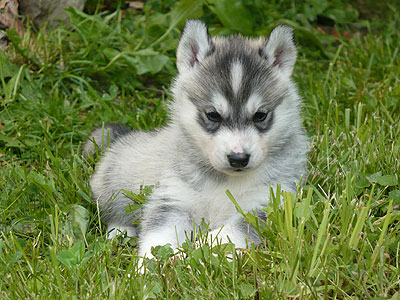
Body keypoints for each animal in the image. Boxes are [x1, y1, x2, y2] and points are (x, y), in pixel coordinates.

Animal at [84, 19, 310, 258]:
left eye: (260, 115)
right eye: (212, 115)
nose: (238, 159)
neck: (225, 181)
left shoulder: (264, 205)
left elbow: (226, 236)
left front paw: (201, 255)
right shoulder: (173, 198)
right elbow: (158, 237)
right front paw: (150, 266)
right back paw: (119, 233)